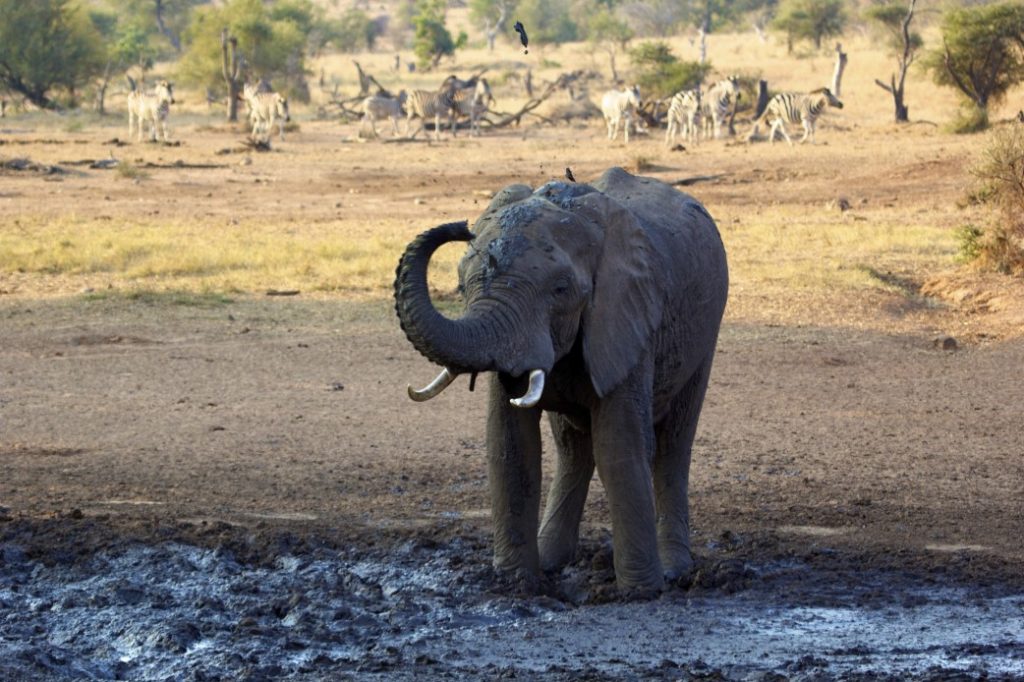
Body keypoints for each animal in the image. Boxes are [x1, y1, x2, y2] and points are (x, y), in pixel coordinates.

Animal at [391, 166, 729, 593]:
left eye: (561, 289)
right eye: (462, 284)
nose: (460, 226)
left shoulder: (628, 315)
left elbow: (619, 444)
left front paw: (640, 592)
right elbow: (510, 443)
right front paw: (517, 584)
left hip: (706, 331)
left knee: (673, 444)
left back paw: (676, 572)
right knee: (572, 447)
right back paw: (553, 561)